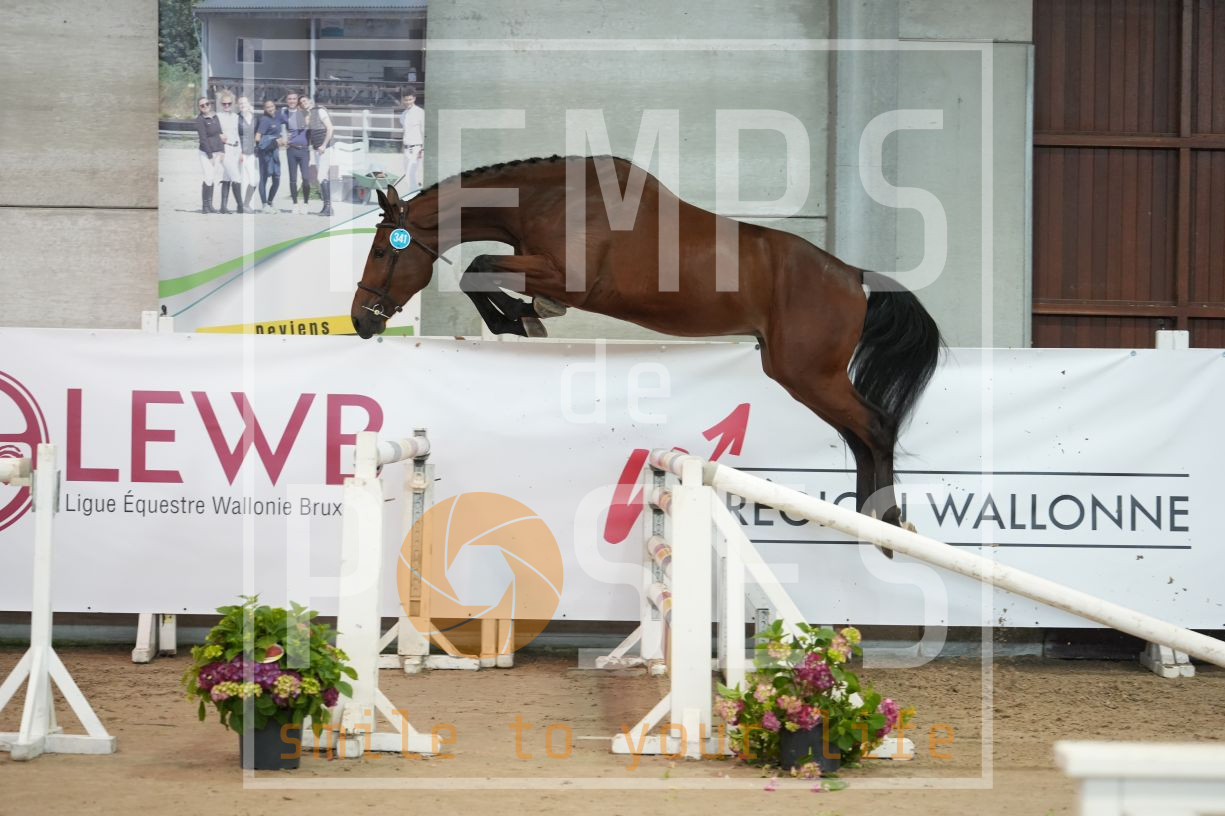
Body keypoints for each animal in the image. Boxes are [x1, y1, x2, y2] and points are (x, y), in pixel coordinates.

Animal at [351, 155, 942, 536]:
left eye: (381, 251)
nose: (360, 320)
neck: (556, 199)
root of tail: (853, 277)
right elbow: (485, 271)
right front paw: (525, 317)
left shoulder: (564, 276)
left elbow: (478, 266)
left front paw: (522, 320)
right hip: (799, 374)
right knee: (862, 434)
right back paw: (869, 518)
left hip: (808, 374)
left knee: (876, 426)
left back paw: (887, 523)